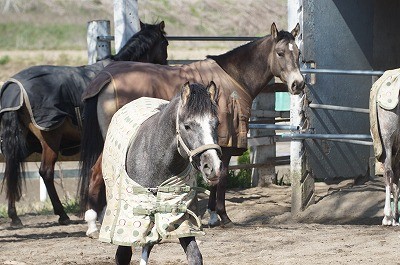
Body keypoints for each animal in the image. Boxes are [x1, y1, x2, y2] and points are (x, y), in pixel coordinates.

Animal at [0, 21, 168, 227]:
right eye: (165, 43)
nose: (165, 65)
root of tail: (14, 88)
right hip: (50, 140)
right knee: (45, 172)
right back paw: (61, 214)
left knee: (11, 167)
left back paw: (15, 215)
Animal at [79, 22, 304, 233]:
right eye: (280, 53)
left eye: (299, 53)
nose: (298, 84)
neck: (234, 78)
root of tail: (105, 80)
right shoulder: (226, 143)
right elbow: (221, 177)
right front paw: (222, 216)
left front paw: (212, 215)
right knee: (98, 173)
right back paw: (93, 223)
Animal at [98, 81, 220, 262]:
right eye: (187, 125)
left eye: (217, 124)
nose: (213, 167)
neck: (155, 159)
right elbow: (123, 254)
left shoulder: (179, 217)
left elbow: (194, 255)